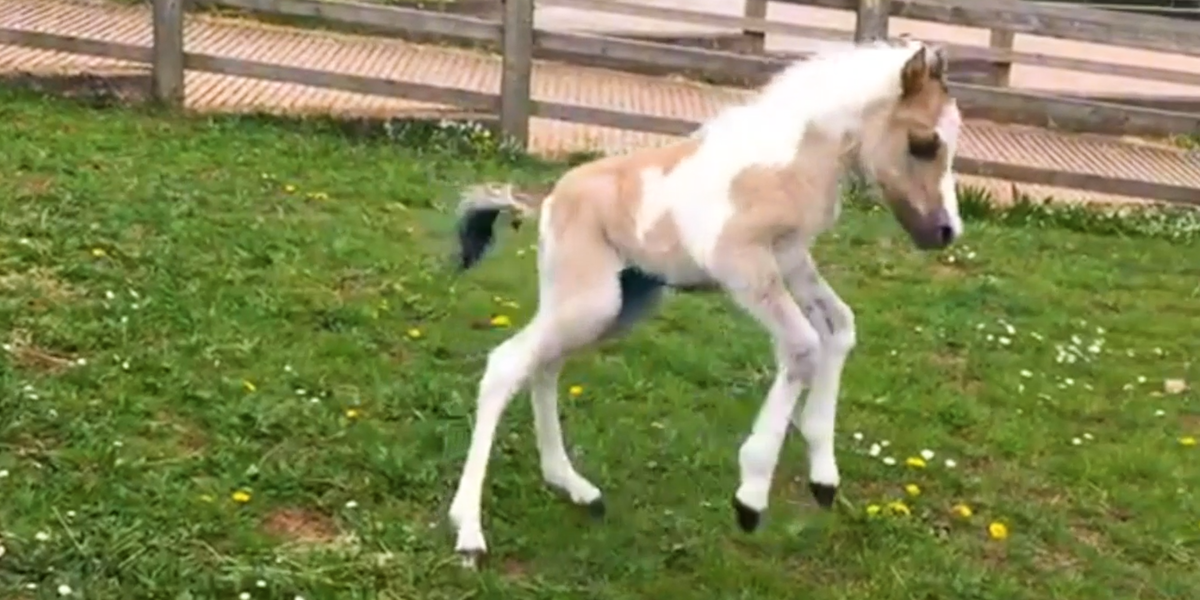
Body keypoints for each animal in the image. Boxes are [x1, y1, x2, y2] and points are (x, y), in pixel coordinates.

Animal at [446, 39, 964, 565]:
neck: (788, 162)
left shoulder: (792, 257)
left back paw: (572, 485)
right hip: (589, 302)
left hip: (614, 307)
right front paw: (750, 497)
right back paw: (469, 530)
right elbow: (803, 347)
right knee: (507, 364)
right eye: (923, 142)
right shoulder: (743, 266)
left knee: (545, 366)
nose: (946, 232)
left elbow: (839, 327)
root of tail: (549, 199)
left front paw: (823, 477)